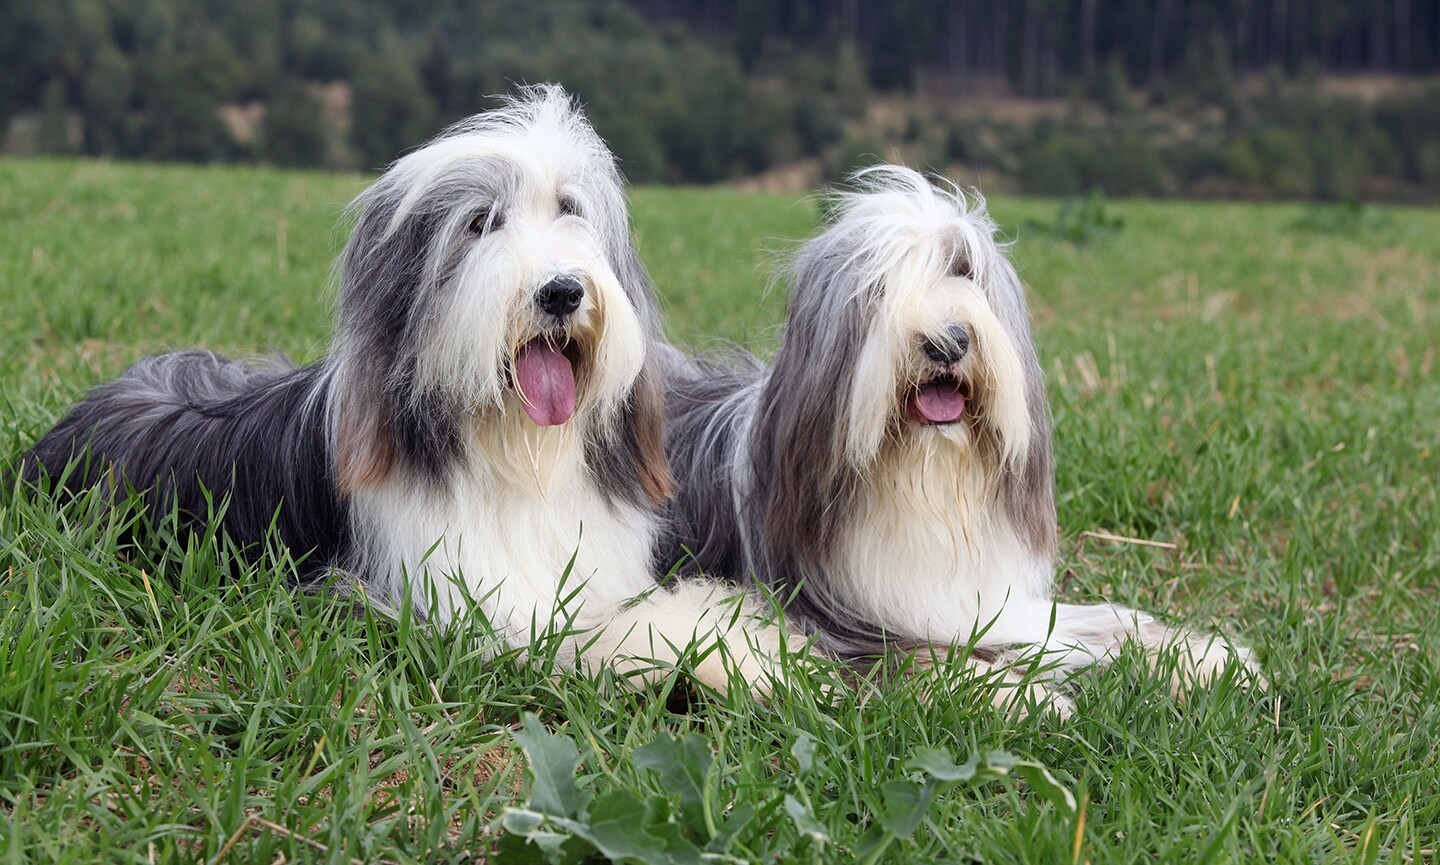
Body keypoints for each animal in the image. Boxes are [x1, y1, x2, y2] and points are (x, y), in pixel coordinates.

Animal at [19, 85, 800, 693]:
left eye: (571, 210)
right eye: (481, 222)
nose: (561, 291)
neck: (514, 455)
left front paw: (757, 647)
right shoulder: (441, 604)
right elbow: (585, 637)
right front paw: (728, 659)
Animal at [662, 165, 1261, 710]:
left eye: (964, 271)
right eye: (880, 288)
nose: (947, 341)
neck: (924, 478)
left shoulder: (994, 604)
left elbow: (1094, 625)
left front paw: (1204, 658)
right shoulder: (837, 627)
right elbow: (923, 660)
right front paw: (1021, 696)